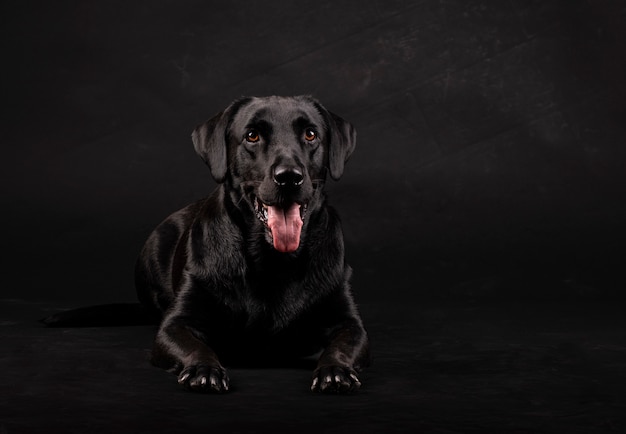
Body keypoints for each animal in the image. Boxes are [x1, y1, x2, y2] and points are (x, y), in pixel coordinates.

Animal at [133, 96, 366, 394]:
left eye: (310, 134)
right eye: (252, 136)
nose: (289, 177)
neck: (273, 261)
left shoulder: (350, 322)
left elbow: (342, 345)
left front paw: (335, 370)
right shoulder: (175, 325)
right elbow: (194, 345)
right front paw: (204, 369)